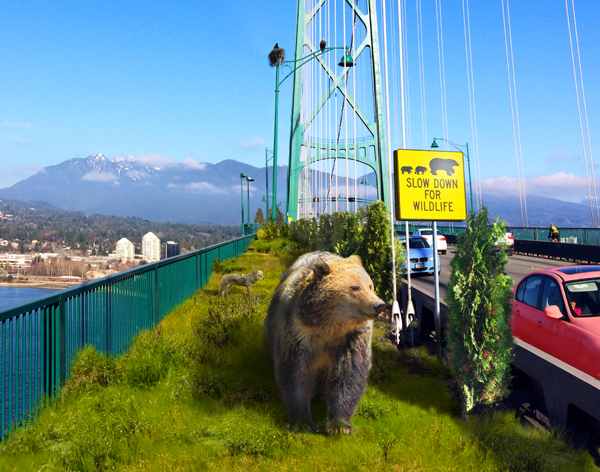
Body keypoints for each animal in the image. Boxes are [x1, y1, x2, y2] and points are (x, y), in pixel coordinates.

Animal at [264, 253, 386, 434]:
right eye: (355, 287)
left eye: (370, 285)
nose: (379, 305)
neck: (329, 325)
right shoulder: (298, 331)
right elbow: (295, 371)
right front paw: (303, 422)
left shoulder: (351, 338)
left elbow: (349, 373)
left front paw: (340, 425)